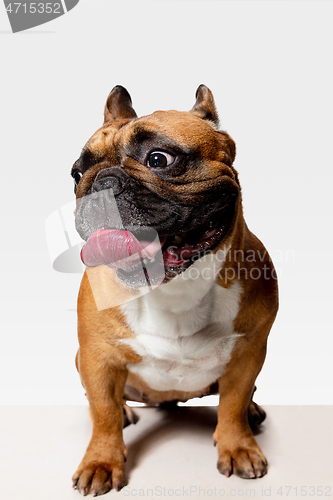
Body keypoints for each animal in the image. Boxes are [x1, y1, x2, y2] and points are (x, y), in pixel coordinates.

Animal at [70, 84, 278, 494]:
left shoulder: (249, 352)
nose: (97, 184)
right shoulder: (97, 357)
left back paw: (252, 412)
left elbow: (233, 403)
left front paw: (238, 446)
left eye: (159, 159)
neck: (176, 288)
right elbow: (103, 412)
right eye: (77, 173)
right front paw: (101, 460)